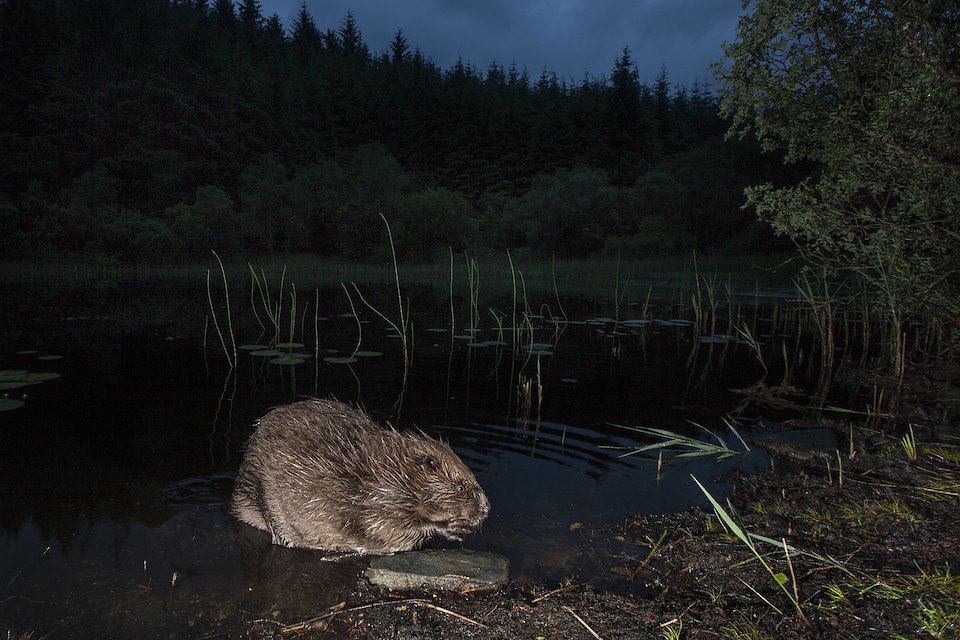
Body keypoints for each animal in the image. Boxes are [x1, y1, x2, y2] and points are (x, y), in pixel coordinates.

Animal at [230, 400, 492, 556]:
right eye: (461, 487)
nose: (486, 509)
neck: (392, 471)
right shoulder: (376, 500)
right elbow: (386, 527)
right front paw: (450, 527)